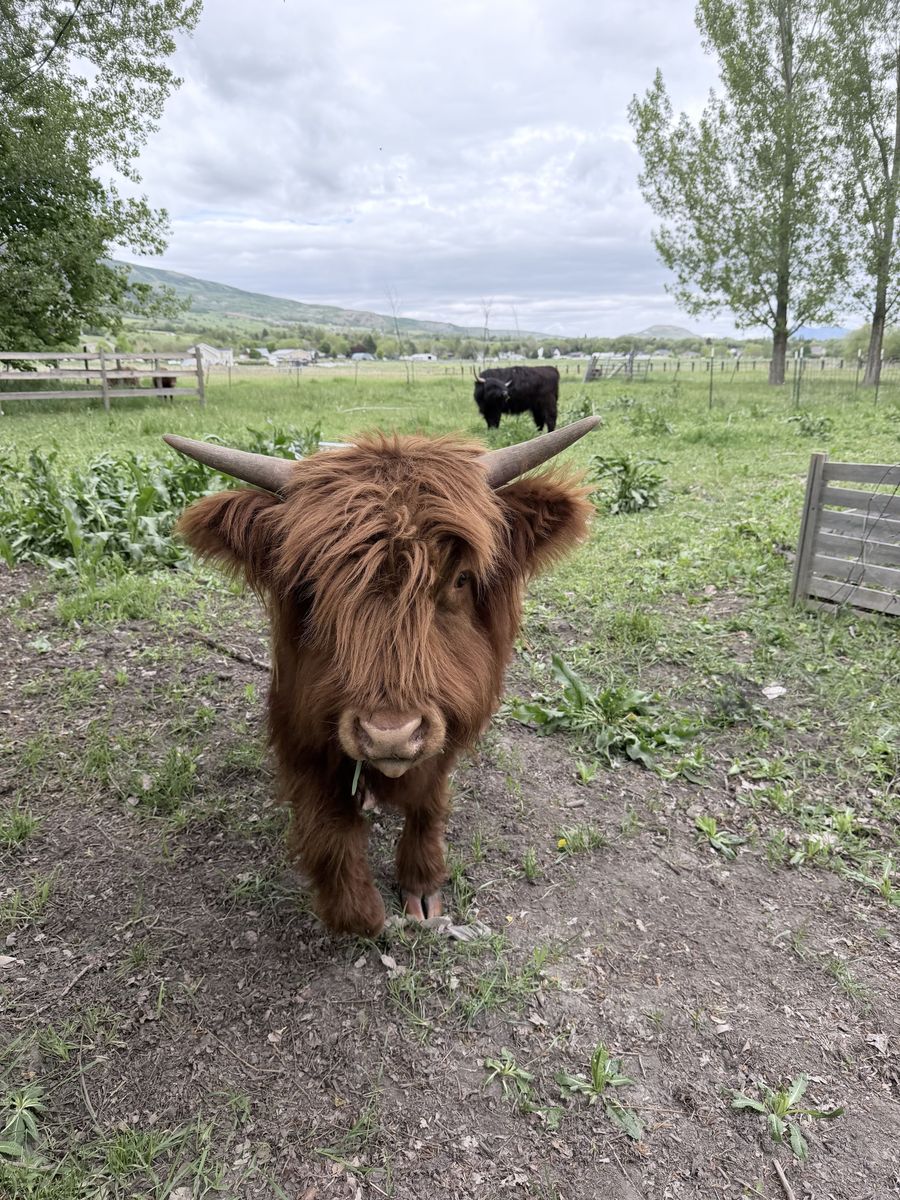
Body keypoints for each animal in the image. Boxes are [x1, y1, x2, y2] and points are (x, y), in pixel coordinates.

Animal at [164, 417, 597, 936]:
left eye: (459, 578)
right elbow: (329, 829)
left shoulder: (446, 728)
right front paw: (363, 914)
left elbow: (429, 801)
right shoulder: (302, 728)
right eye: (313, 585)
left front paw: (422, 883)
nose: (390, 734)